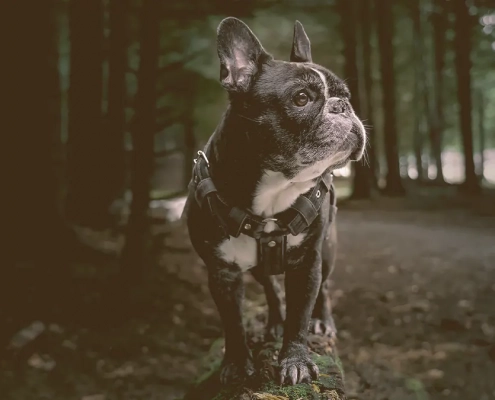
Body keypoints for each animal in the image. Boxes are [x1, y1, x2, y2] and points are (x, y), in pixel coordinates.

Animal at [184, 17, 366, 386]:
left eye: (345, 95)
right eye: (301, 98)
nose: (343, 107)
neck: (274, 190)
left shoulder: (307, 262)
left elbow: (300, 314)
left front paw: (295, 361)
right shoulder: (222, 273)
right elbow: (233, 322)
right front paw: (237, 364)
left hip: (328, 248)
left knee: (325, 288)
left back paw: (322, 321)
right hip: (257, 266)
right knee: (270, 287)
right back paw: (273, 323)